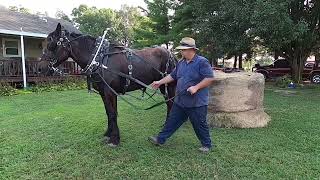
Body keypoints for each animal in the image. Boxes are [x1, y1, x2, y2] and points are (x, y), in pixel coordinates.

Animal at [41, 23, 176, 146]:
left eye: (51, 44)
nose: (40, 69)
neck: (99, 60)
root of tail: (171, 54)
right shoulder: (103, 92)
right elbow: (108, 112)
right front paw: (108, 133)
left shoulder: (110, 92)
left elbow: (112, 113)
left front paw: (114, 139)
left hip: (168, 86)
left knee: (171, 103)